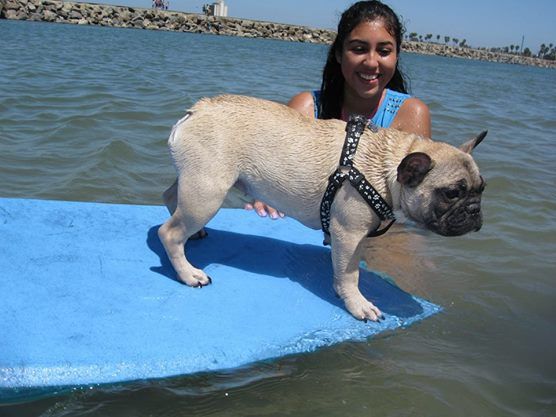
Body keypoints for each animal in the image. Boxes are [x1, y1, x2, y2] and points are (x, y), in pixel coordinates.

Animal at [157, 95, 486, 322]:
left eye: (481, 188)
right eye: (452, 193)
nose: (474, 210)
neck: (387, 170)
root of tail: (197, 110)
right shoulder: (349, 234)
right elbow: (349, 275)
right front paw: (357, 304)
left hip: (204, 186)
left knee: (171, 197)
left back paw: (193, 236)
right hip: (208, 193)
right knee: (168, 233)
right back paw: (189, 273)